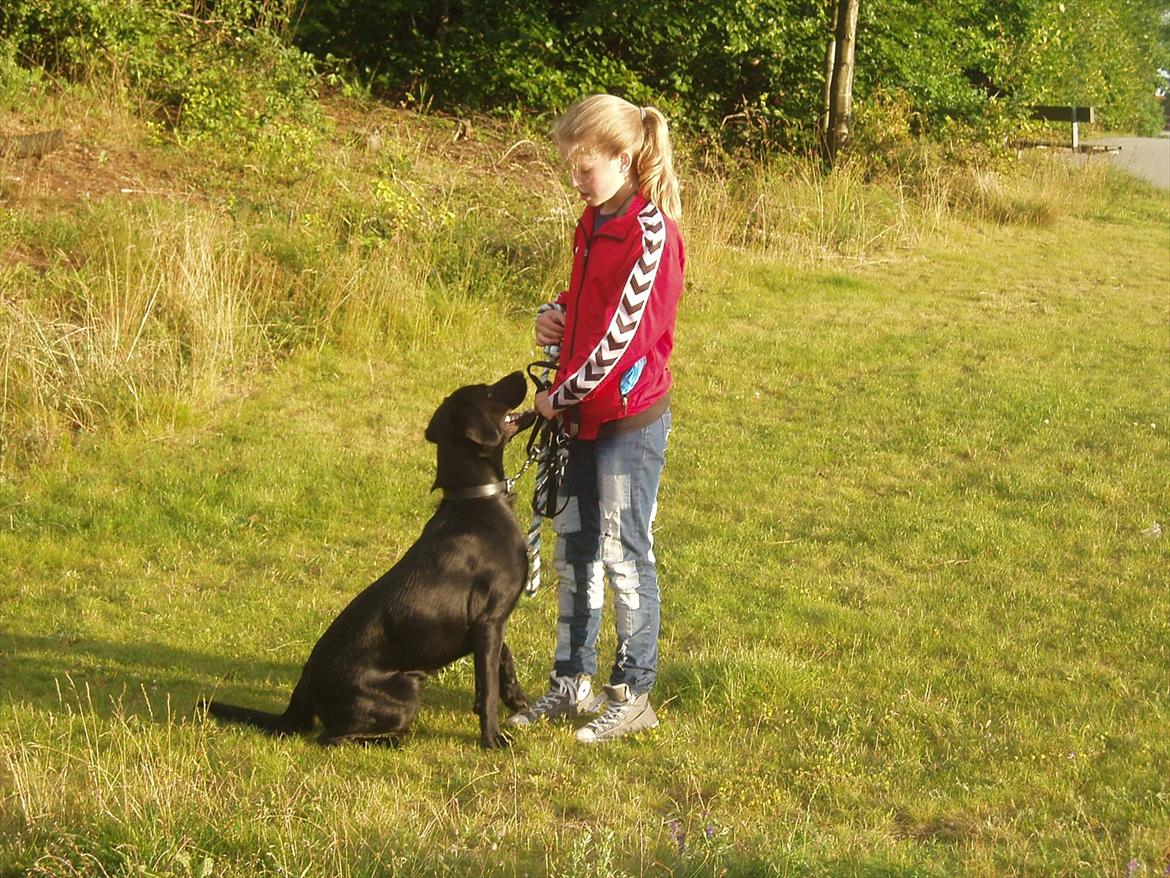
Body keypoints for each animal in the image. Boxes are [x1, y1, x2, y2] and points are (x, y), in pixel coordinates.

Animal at [204, 372, 535, 749]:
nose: (522, 374)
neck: (477, 499)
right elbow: (487, 686)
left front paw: (516, 699)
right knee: (331, 737)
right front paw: (493, 738)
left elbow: (504, 661)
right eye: (489, 391)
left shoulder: (491, 620)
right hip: (402, 693)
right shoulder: (489, 621)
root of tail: (304, 685)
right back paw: (393, 742)